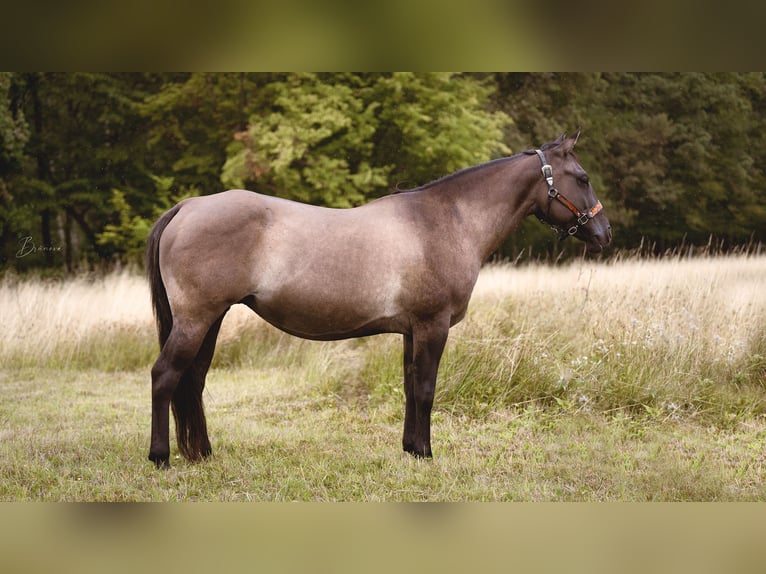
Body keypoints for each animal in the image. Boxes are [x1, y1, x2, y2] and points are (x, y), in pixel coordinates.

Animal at [145, 131, 611, 468]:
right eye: (583, 178)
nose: (604, 233)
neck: (448, 221)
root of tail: (187, 207)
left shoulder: (412, 331)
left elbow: (409, 387)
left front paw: (410, 448)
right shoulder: (432, 325)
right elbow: (425, 389)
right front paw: (425, 454)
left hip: (211, 319)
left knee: (194, 380)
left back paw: (202, 453)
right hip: (196, 320)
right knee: (165, 376)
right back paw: (160, 457)